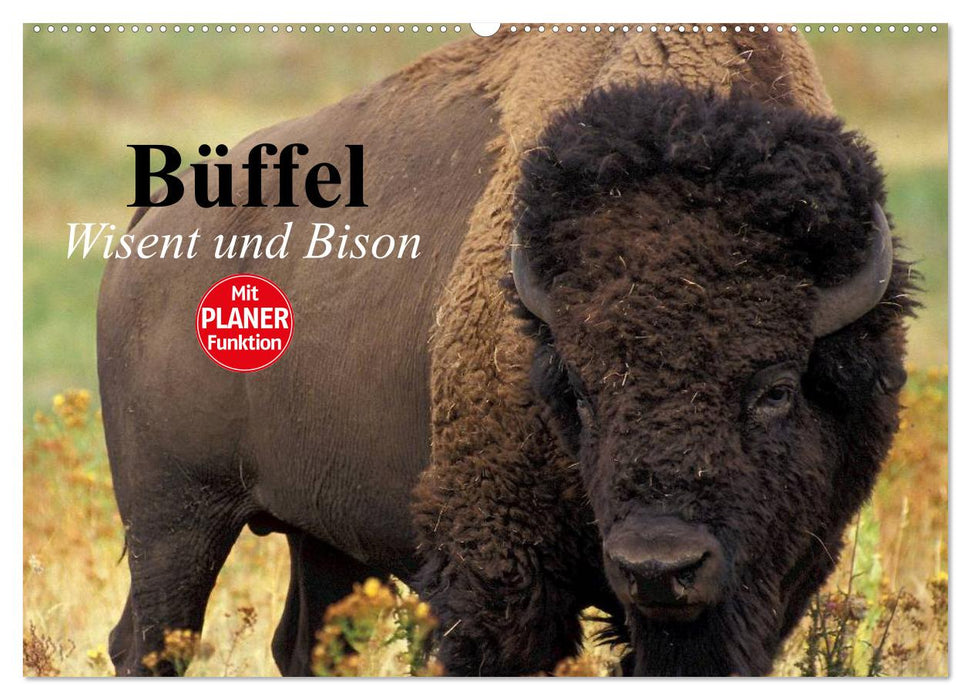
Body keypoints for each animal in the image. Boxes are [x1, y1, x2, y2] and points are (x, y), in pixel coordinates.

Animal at [99, 28, 915, 676]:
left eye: (776, 388)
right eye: (579, 390)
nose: (658, 566)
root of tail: (149, 228)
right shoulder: (498, 575)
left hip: (320, 532)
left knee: (303, 644)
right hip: (174, 516)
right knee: (147, 640)